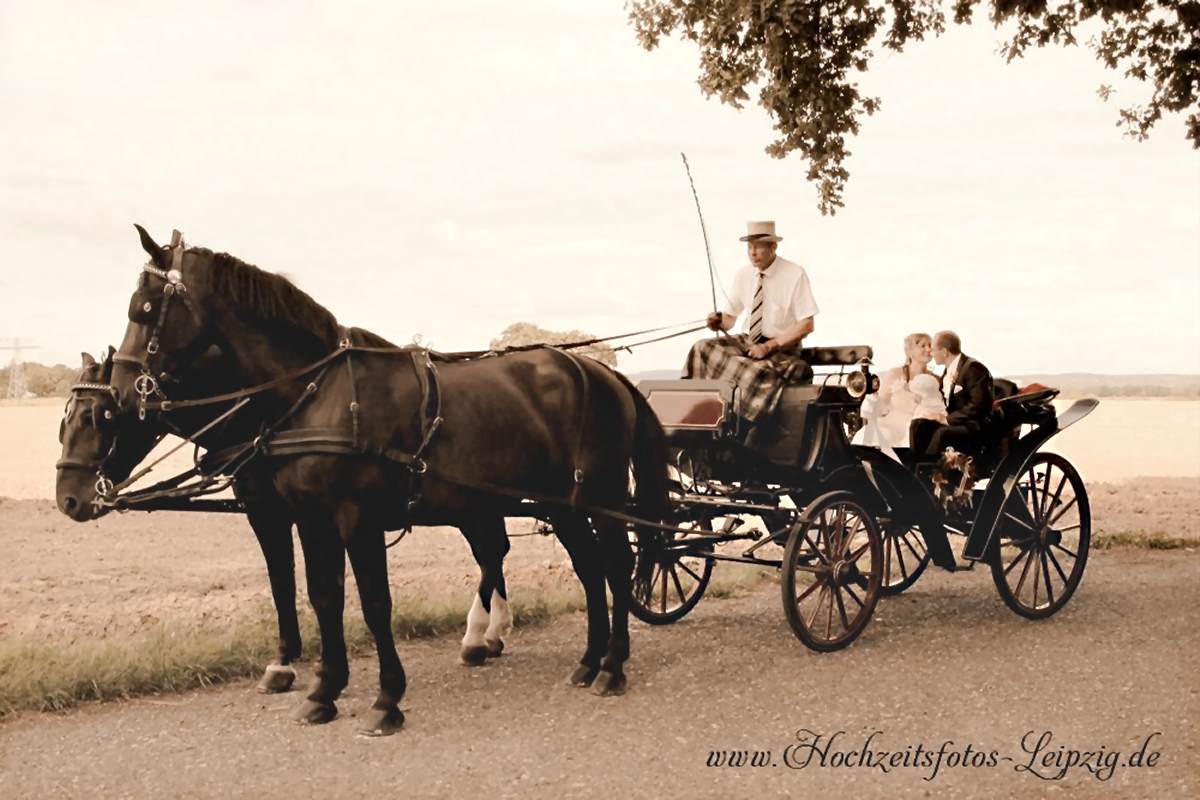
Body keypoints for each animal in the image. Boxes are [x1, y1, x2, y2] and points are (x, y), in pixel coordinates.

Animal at [100, 221, 667, 734]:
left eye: (143, 310)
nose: (124, 393)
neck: (319, 391)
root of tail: (601, 372)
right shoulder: (311, 518)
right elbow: (324, 596)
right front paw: (324, 693)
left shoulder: (357, 517)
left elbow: (375, 603)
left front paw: (386, 700)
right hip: (561, 503)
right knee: (589, 570)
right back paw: (588, 661)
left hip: (599, 497)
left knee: (615, 566)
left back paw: (612, 667)